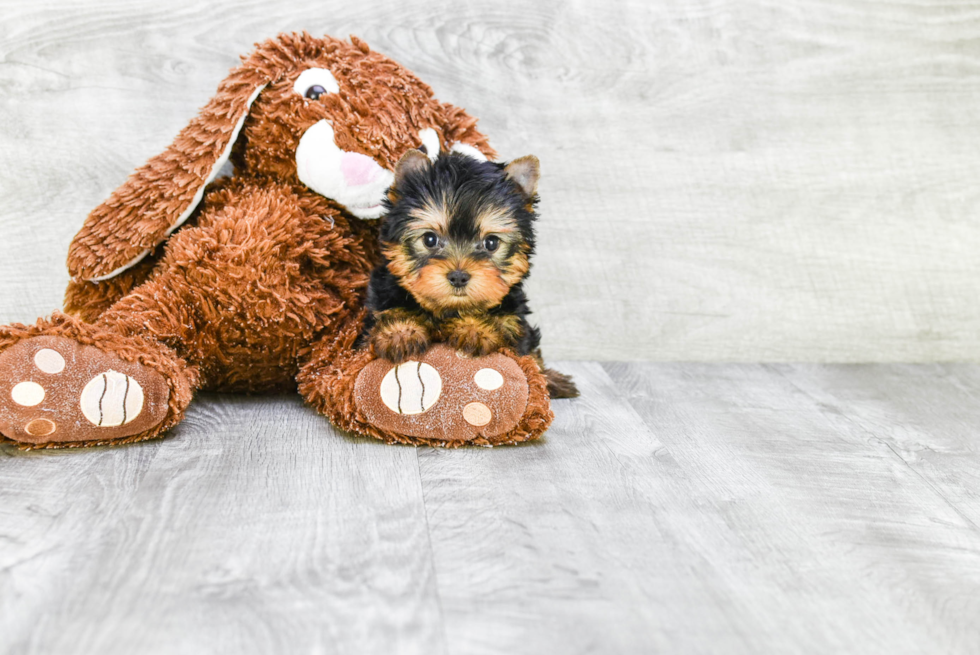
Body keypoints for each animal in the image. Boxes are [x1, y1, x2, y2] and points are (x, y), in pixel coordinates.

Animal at [364, 149, 580, 400]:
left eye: (491, 242)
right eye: (430, 239)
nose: (458, 276)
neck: (449, 310)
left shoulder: (515, 319)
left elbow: (514, 337)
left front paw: (474, 329)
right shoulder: (383, 294)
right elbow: (391, 309)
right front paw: (400, 332)